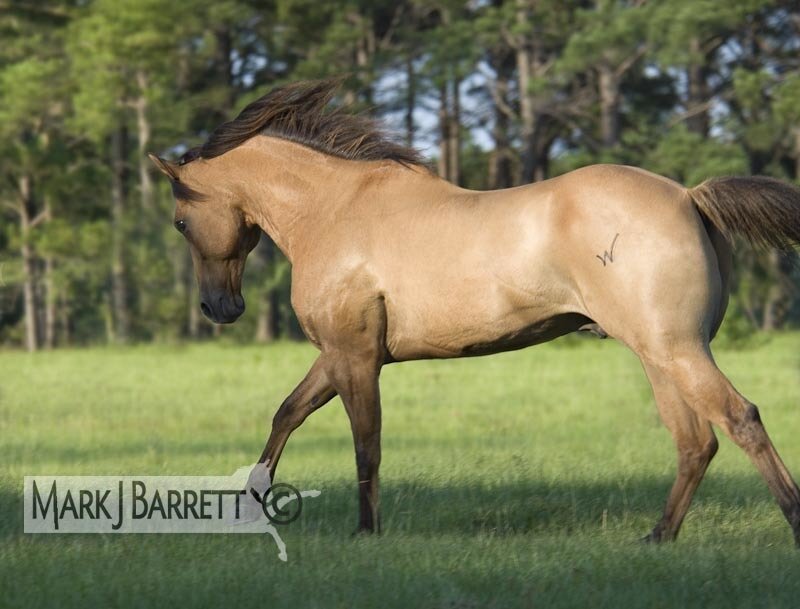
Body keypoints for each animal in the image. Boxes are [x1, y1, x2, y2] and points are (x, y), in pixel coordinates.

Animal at [150, 79, 800, 546]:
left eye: (180, 221)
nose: (218, 308)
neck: (334, 212)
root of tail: (688, 196)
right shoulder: (339, 354)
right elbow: (288, 414)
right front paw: (248, 506)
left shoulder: (354, 356)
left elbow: (365, 441)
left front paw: (366, 531)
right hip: (658, 356)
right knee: (695, 442)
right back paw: (657, 537)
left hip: (676, 349)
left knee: (740, 419)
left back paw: (787, 522)